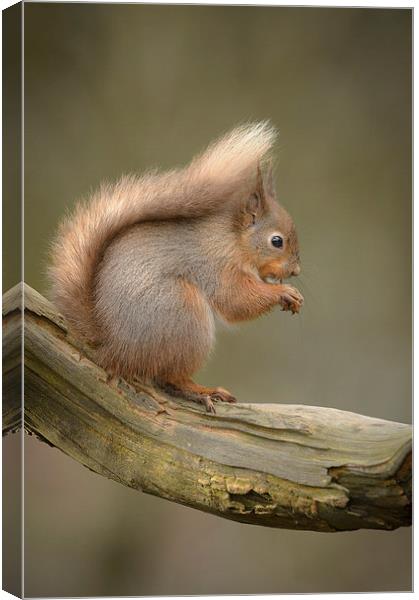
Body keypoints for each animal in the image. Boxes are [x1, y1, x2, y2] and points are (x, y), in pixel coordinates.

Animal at [49, 122, 304, 412]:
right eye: (277, 241)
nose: (295, 271)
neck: (233, 239)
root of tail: (113, 348)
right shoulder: (216, 265)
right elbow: (235, 300)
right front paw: (283, 293)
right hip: (183, 315)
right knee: (169, 377)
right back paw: (203, 391)